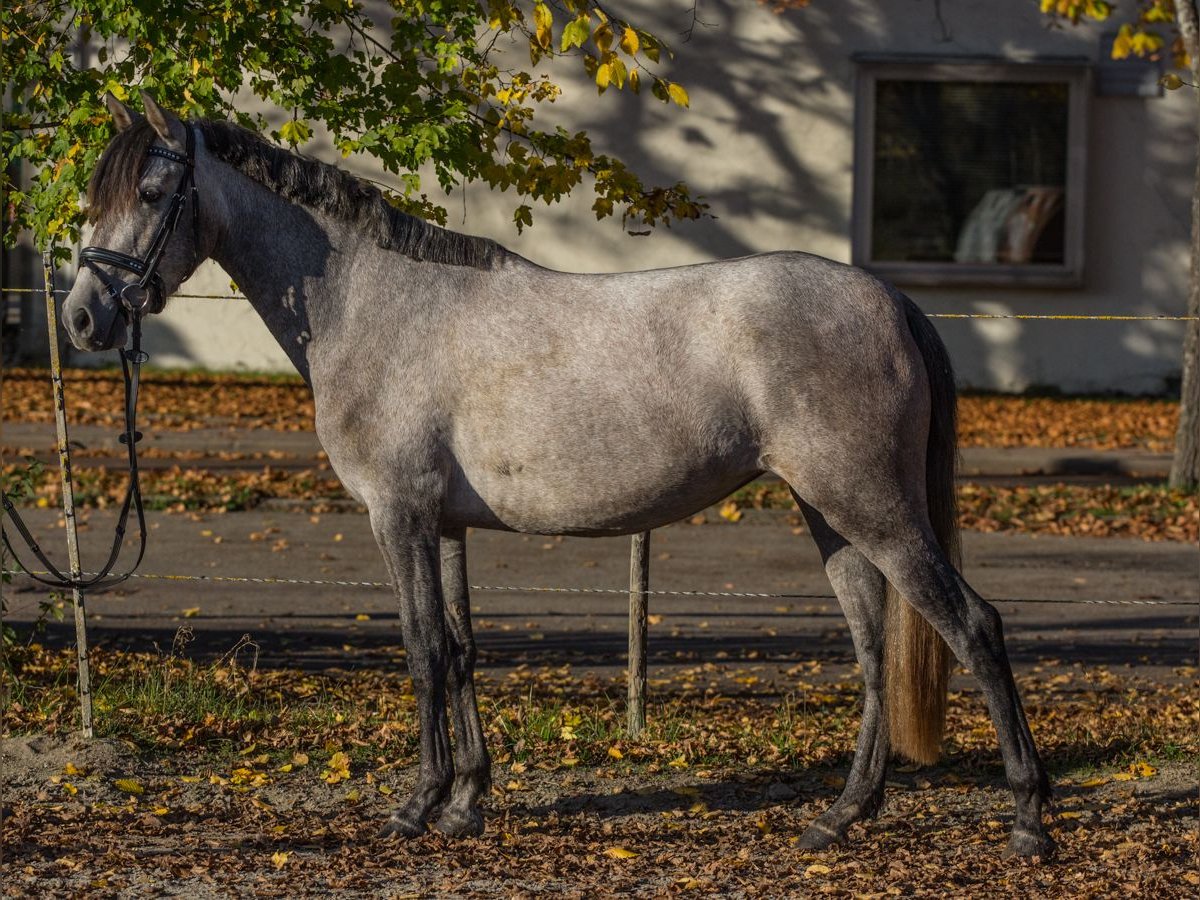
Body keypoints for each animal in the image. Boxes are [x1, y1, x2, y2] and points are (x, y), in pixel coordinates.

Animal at [60, 95, 1056, 864]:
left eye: (152, 192)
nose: (81, 317)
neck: (377, 305)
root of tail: (890, 299)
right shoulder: (445, 525)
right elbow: (461, 649)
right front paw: (467, 804)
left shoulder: (399, 517)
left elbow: (422, 651)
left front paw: (417, 806)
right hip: (831, 514)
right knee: (873, 647)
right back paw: (842, 817)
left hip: (872, 507)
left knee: (972, 626)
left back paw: (1028, 821)